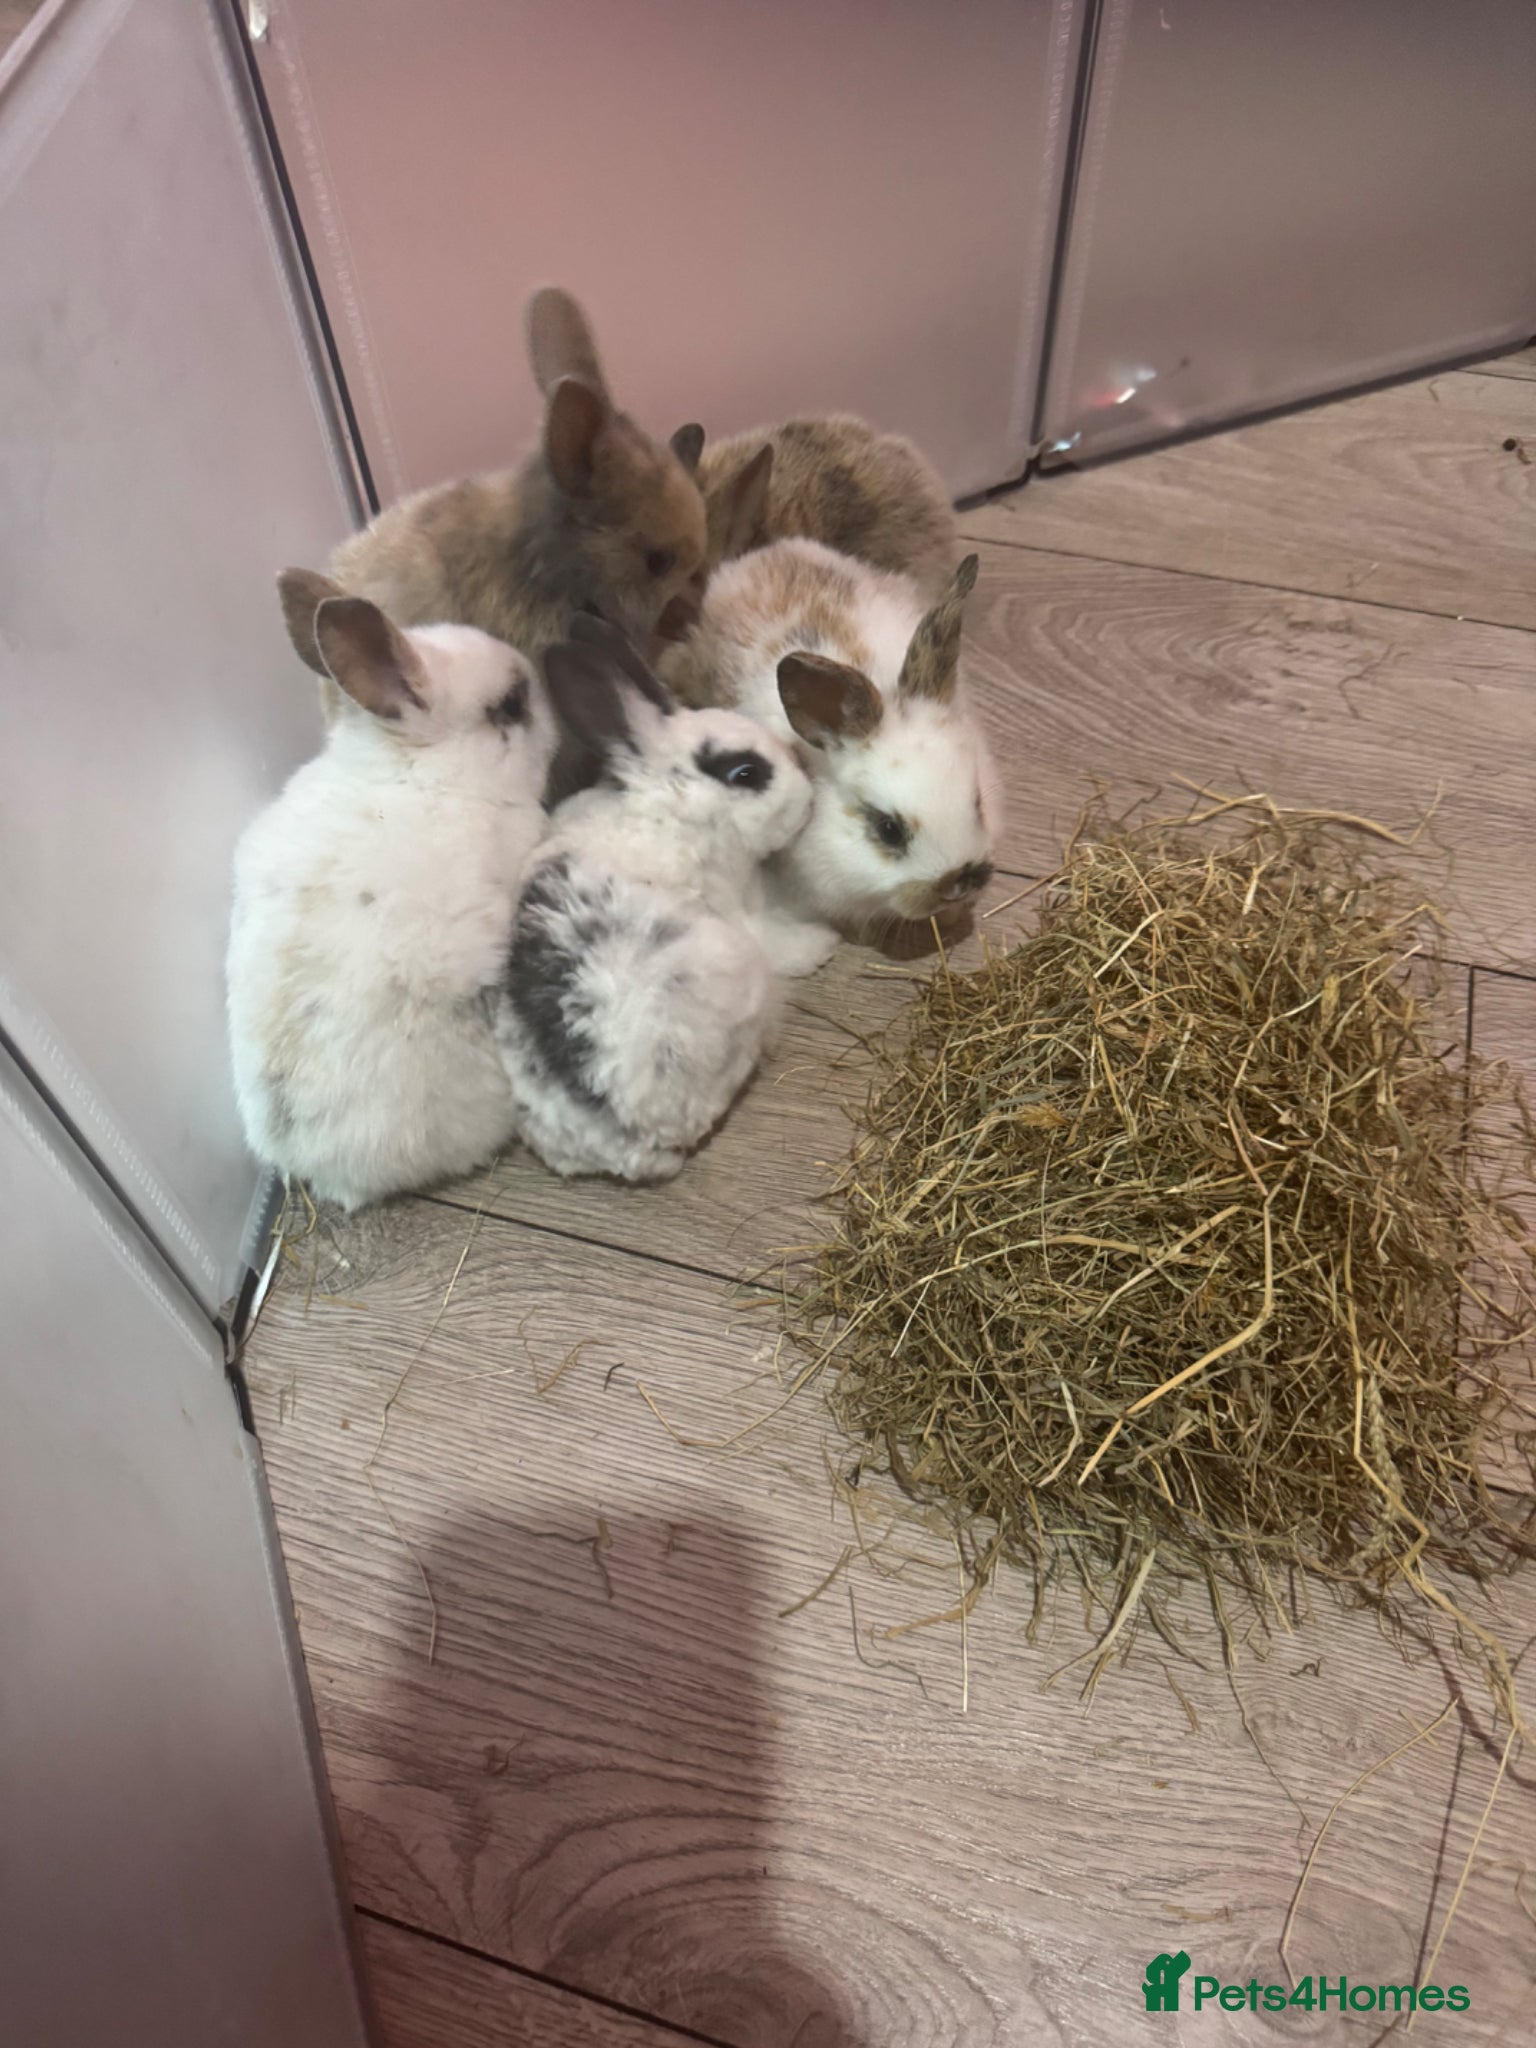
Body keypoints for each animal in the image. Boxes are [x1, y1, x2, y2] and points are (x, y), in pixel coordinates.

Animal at [495, 617, 816, 1184]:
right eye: (746, 773)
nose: (809, 798)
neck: (668, 805)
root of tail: (630, 1139)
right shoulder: (741, 906)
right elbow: (787, 938)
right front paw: (826, 943)